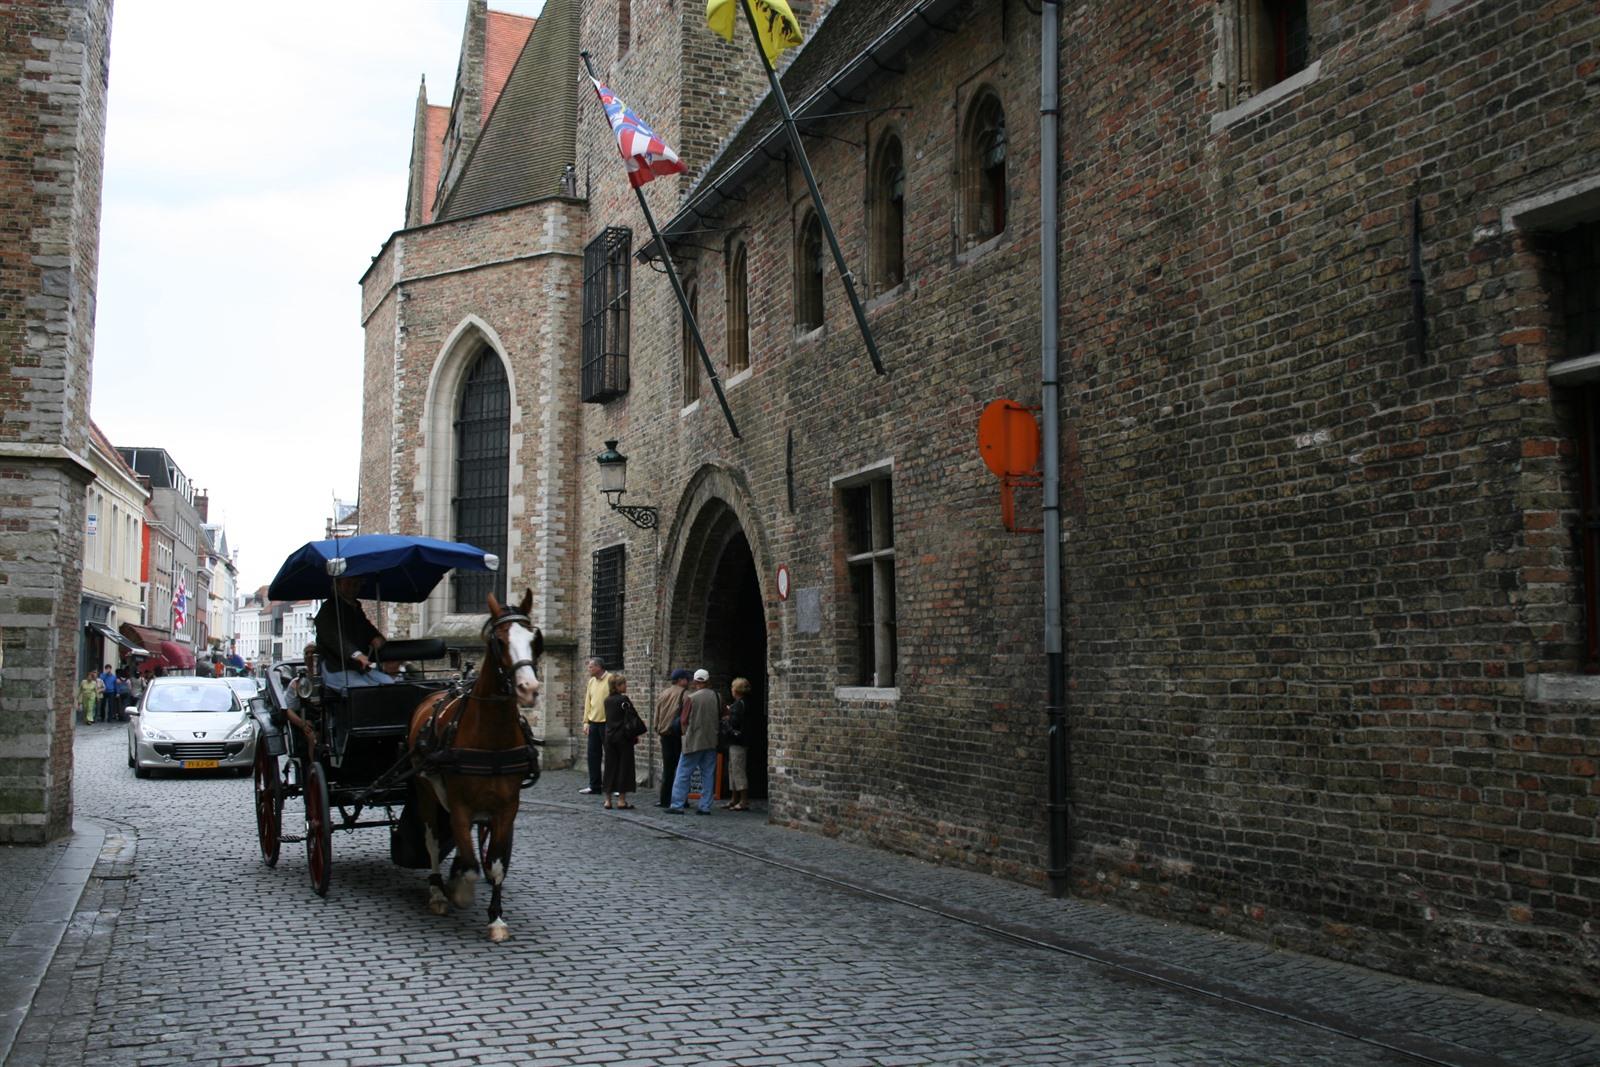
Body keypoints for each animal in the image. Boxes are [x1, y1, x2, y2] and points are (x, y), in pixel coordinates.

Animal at [406, 591, 544, 940]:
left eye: (535, 639)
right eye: (499, 640)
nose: (529, 690)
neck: (491, 737)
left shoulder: (508, 807)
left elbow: (495, 863)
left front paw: (496, 918)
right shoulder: (458, 804)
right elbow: (469, 866)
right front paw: (459, 893)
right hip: (426, 793)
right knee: (431, 841)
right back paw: (438, 892)